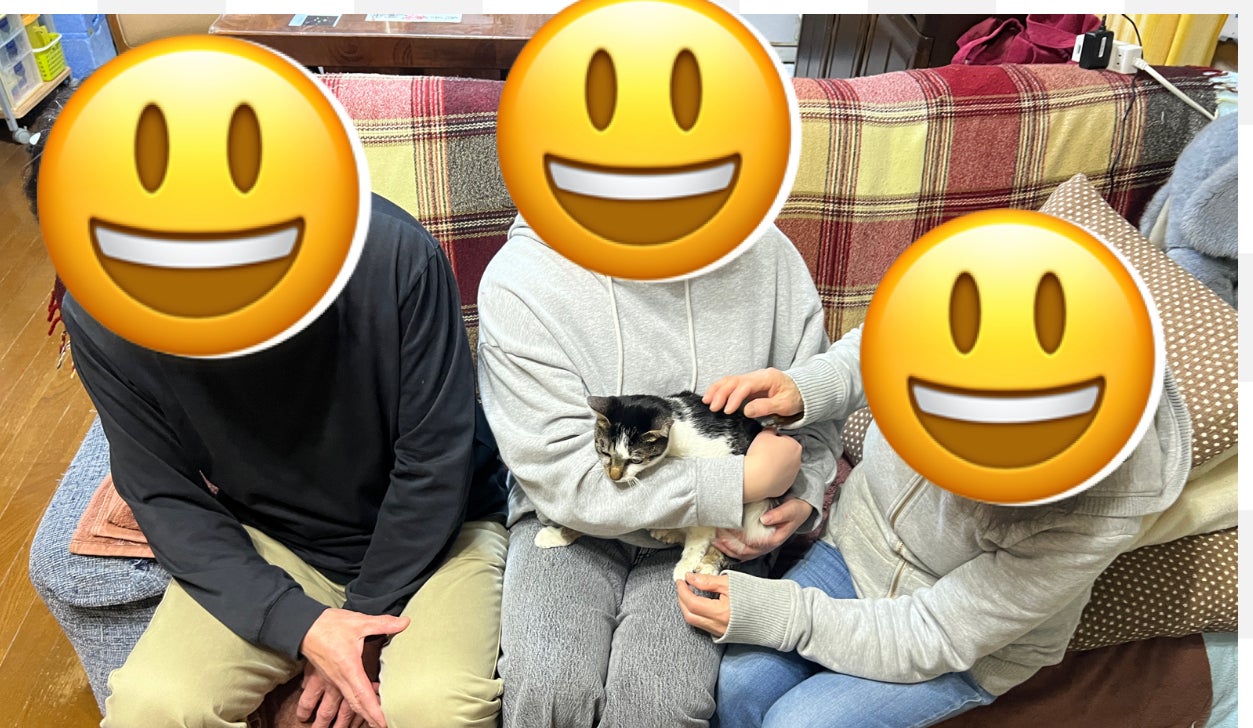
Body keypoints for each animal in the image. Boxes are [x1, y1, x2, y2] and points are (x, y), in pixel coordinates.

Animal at [534, 391, 779, 580]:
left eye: (635, 459)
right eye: (604, 451)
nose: (614, 475)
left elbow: (701, 532)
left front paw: (686, 565)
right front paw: (556, 535)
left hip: (757, 513)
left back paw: (707, 564)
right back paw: (666, 532)